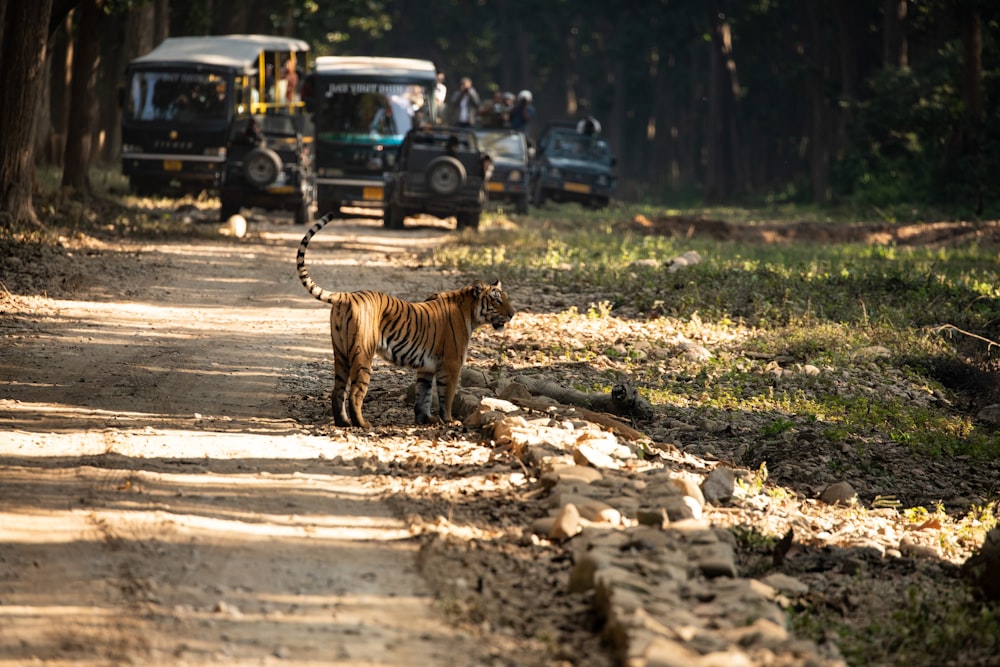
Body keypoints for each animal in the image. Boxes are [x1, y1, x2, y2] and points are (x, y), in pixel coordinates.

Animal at [294, 217, 516, 430]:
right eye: (497, 301)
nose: (513, 314)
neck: (470, 312)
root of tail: (346, 296)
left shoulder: (427, 367)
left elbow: (423, 395)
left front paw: (425, 419)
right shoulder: (451, 364)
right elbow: (447, 396)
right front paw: (449, 421)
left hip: (340, 353)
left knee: (337, 390)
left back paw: (343, 423)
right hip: (362, 353)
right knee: (356, 392)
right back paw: (363, 424)